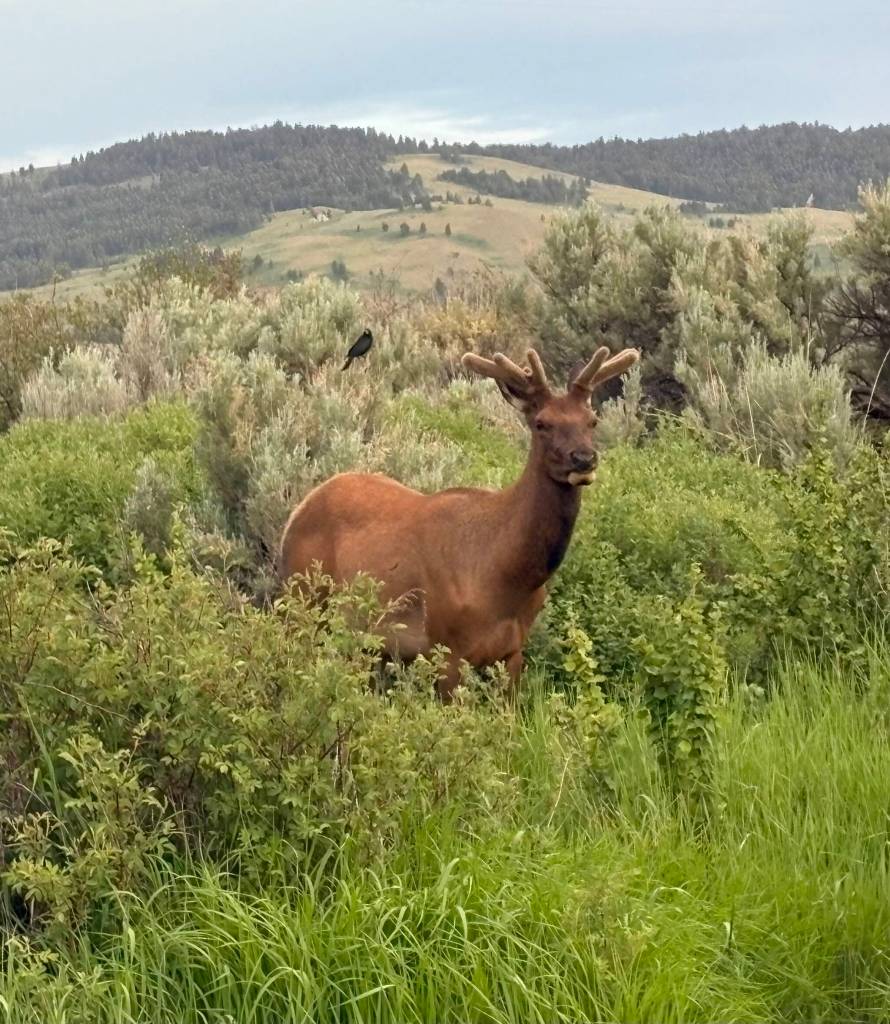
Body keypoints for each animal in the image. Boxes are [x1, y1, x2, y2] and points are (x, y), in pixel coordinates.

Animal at [278, 345, 640, 701]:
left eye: (592, 421)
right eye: (541, 423)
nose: (584, 458)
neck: (504, 575)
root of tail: (297, 513)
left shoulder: (513, 651)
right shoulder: (446, 647)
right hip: (301, 600)